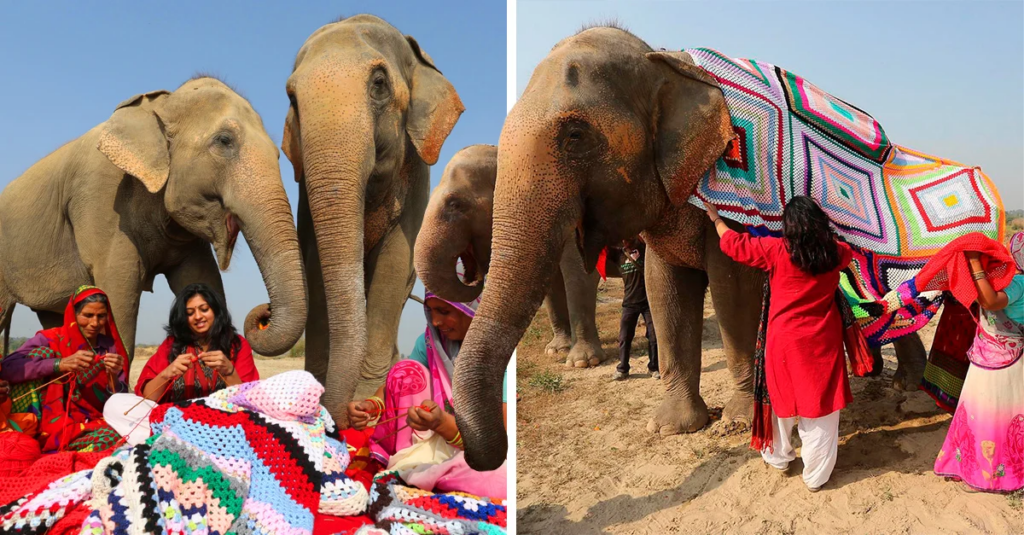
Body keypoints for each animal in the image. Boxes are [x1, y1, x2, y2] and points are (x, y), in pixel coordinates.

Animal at [0, 77, 308, 367]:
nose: (265, 312)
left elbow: (201, 278)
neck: (161, 105)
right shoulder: (101, 198)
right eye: (224, 140)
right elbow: (119, 291)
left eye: (278, 153)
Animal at [282, 15, 464, 423]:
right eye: (292, 99)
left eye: (379, 83)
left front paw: (367, 400)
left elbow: (394, 264)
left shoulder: (417, 182)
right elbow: (315, 267)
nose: (336, 413)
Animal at [415, 144, 620, 369]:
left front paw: (582, 362)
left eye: (455, 204)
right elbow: (552, 281)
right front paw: (556, 350)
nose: (472, 279)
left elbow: (579, 273)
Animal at [450, 26, 927, 471]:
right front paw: (671, 426)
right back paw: (887, 377)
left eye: (575, 134)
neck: (666, 62)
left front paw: (739, 420)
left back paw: (906, 386)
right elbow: (664, 288)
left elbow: (734, 286)